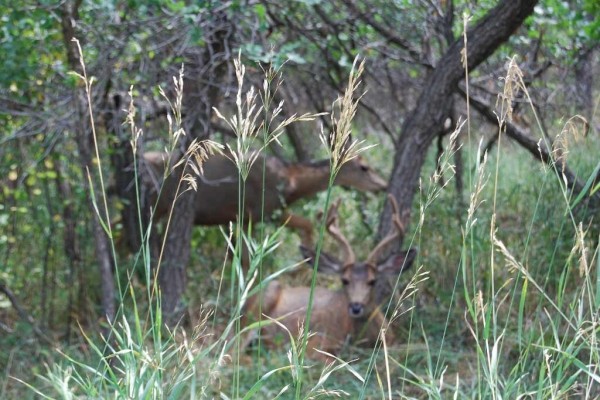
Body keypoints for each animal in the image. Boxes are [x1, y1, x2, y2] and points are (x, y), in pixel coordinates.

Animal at [144, 150, 390, 244]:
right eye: (364, 167)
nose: (383, 186)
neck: (291, 183)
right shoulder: (264, 211)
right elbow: (308, 224)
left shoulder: (245, 218)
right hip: (156, 206)